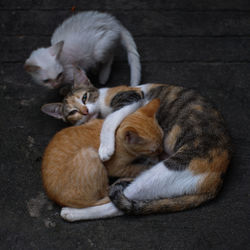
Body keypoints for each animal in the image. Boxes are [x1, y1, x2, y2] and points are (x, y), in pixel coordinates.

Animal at [41, 68, 232, 221]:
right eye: (72, 112)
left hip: (163, 172)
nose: (85, 111)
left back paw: (72, 213)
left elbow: (111, 119)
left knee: (115, 207)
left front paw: (106, 147)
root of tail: (217, 181)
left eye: (84, 97)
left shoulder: (132, 98)